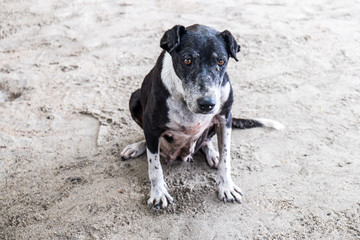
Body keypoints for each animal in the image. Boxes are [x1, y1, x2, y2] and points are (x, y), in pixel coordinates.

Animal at [121, 24, 284, 208]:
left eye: (221, 61)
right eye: (187, 60)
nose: (207, 104)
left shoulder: (225, 118)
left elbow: (226, 158)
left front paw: (226, 186)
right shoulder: (151, 124)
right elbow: (154, 165)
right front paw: (158, 192)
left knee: (207, 141)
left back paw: (212, 153)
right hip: (135, 98)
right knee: (150, 144)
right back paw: (137, 147)